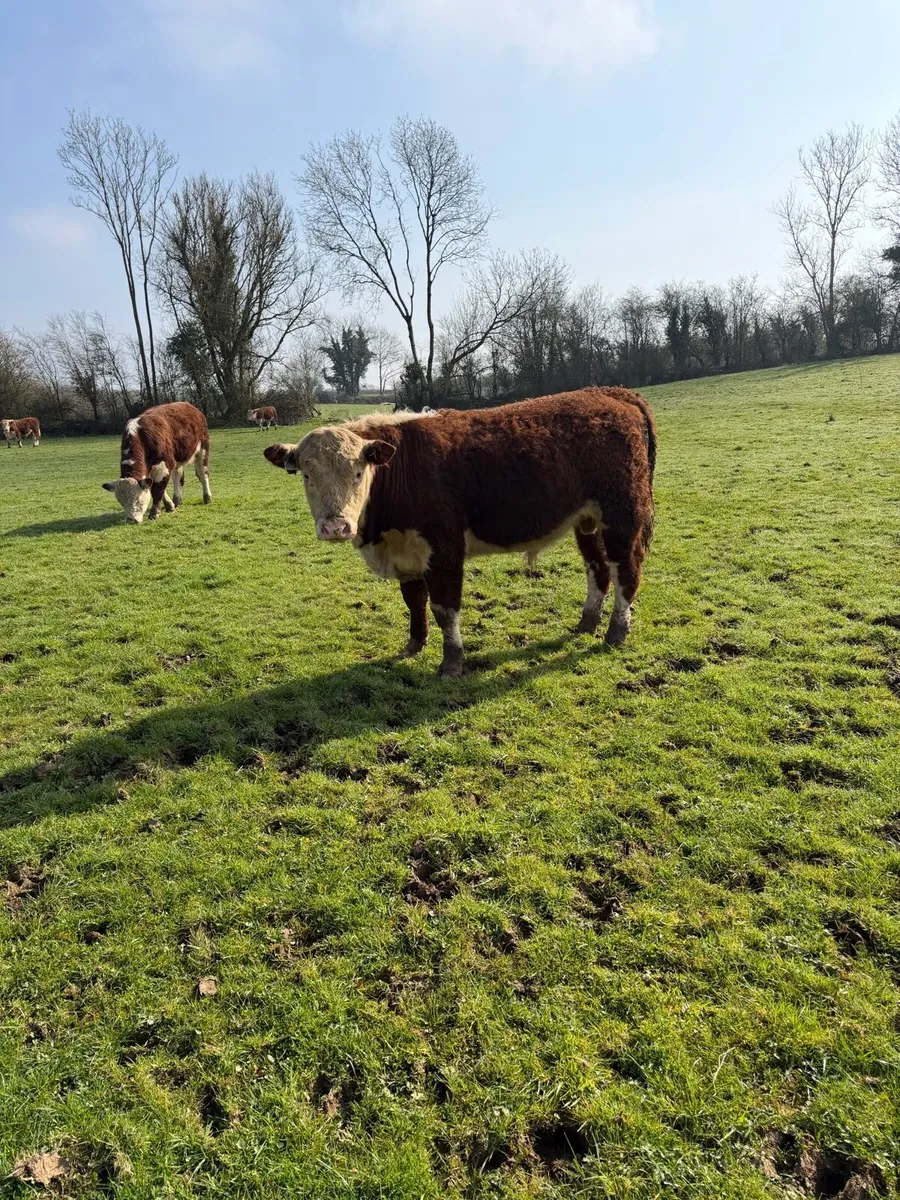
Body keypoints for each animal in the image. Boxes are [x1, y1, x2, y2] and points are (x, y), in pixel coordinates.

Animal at [264, 387, 656, 677]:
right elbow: (414, 601)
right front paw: (414, 645)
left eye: (358, 473)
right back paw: (586, 624)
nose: (335, 526)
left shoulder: (445, 549)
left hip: (623, 514)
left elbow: (444, 608)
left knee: (626, 570)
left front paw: (451, 663)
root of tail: (612, 393)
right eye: (306, 475)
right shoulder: (407, 552)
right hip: (586, 520)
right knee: (598, 569)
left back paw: (615, 633)